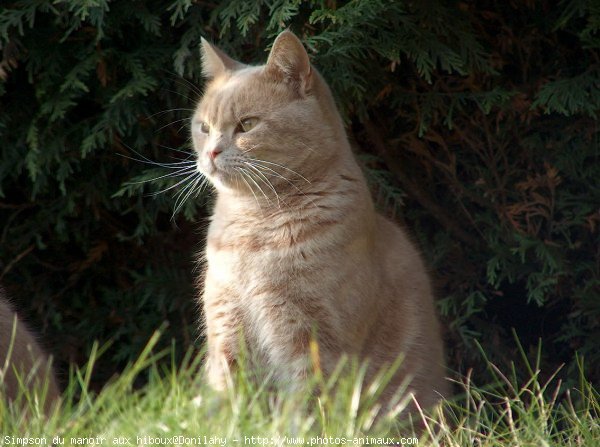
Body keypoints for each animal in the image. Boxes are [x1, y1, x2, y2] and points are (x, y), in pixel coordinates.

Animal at [193, 30, 450, 410]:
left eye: (247, 125)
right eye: (204, 127)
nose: (211, 152)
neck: (255, 226)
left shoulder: (312, 340)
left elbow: (307, 406)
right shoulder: (225, 327)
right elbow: (231, 403)